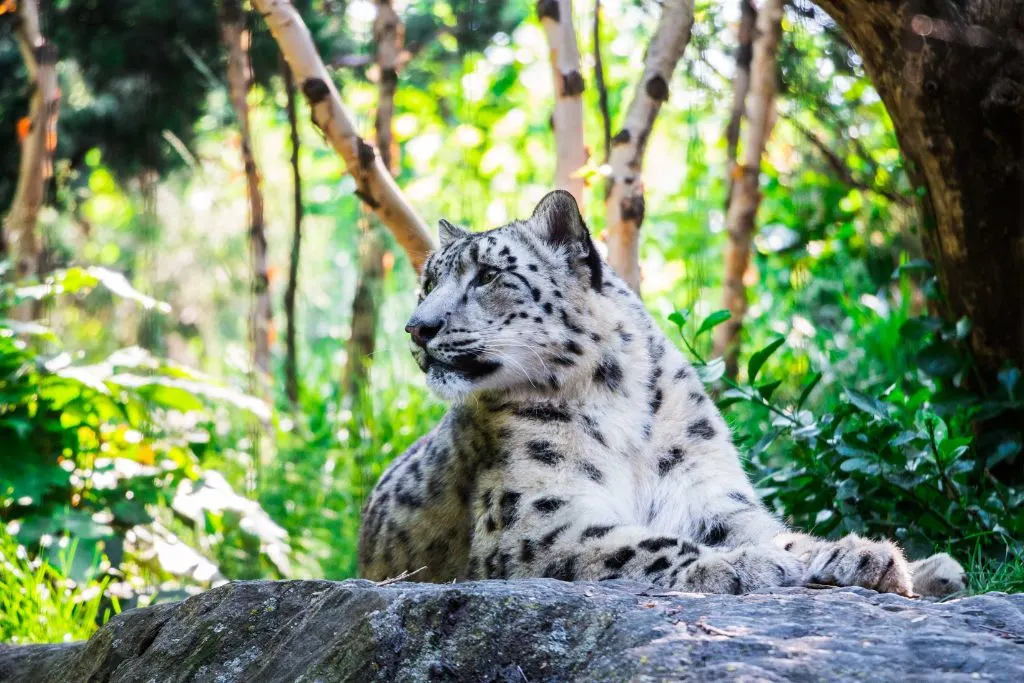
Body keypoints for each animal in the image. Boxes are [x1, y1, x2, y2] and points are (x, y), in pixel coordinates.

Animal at [360, 189, 966, 593]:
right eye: (428, 283)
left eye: (487, 275)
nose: (417, 328)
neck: (617, 400)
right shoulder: (533, 519)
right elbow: (635, 544)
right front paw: (741, 566)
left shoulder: (707, 493)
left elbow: (775, 531)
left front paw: (866, 556)